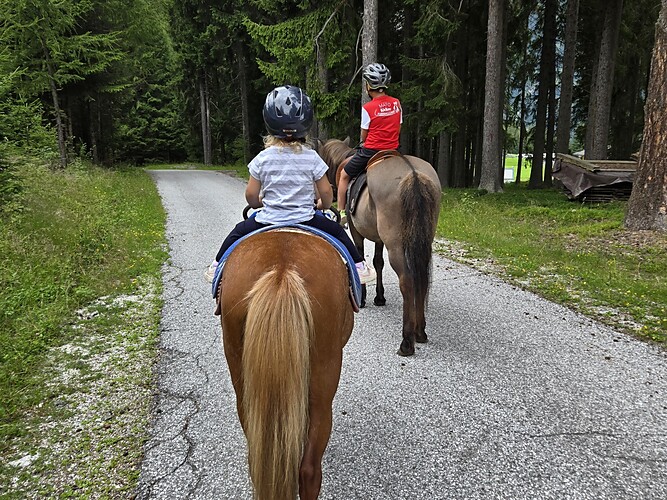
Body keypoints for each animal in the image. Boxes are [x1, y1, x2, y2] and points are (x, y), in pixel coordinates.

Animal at [319, 138, 442, 356]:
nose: (328, 191)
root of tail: (414, 175)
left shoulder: (356, 230)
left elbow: (360, 256)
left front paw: (362, 298)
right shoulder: (378, 237)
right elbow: (378, 262)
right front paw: (380, 296)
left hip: (396, 245)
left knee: (407, 281)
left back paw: (407, 341)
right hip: (423, 240)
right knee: (421, 278)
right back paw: (420, 331)